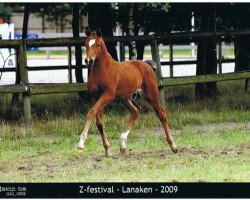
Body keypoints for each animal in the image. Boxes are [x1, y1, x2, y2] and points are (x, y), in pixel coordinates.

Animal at [77, 27, 177, 156]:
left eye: (98, 45)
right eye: (85, 44)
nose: (88, 60)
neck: (102, 70)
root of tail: (147, 65)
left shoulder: (108, 95)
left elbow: (91, 112)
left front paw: (81, 144)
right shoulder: (94, 96)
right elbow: (99, 122)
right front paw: (107, 150)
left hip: (151, 94)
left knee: (161, 113)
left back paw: (173, 146)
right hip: (125, 98)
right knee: (136, 111)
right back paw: (122, 145)